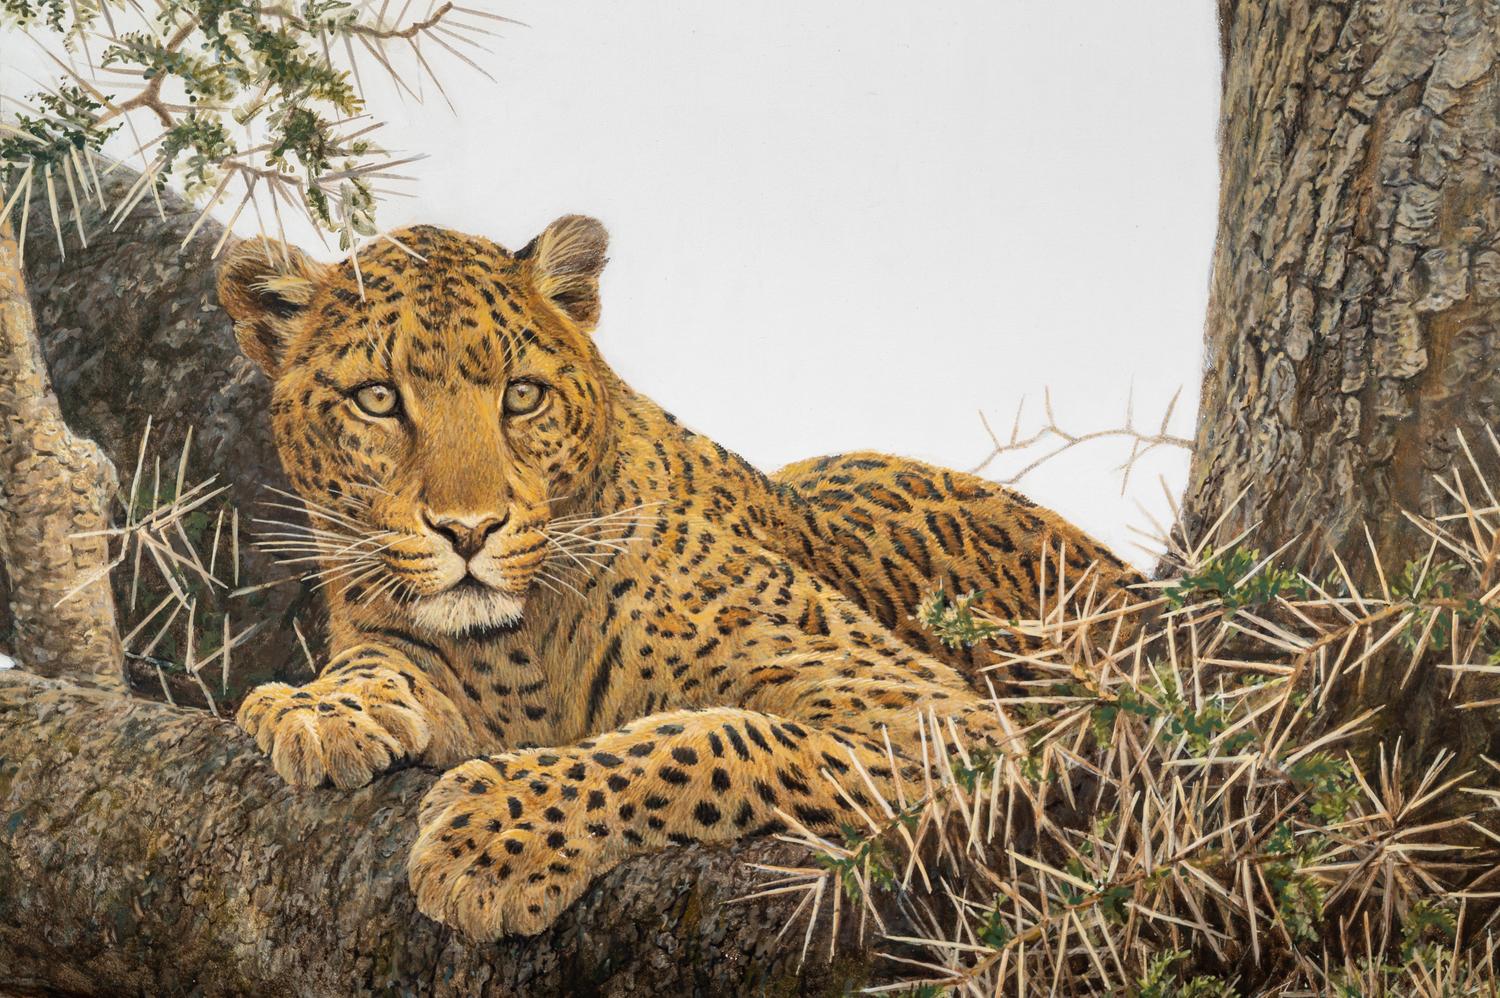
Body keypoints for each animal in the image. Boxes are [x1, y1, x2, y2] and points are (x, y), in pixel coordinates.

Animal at [217, 217, 1140, 941]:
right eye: (377, 399)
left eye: (522, 396)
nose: (469, 530)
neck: (519, 650)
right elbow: (374, 660)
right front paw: (318, 710)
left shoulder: (928, 710)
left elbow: (706, 739)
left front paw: (496, 833)